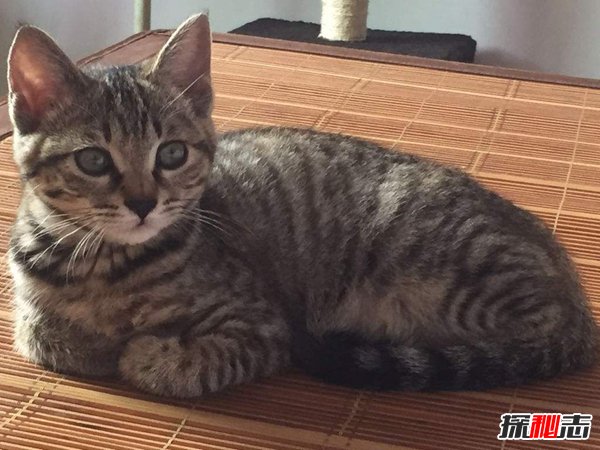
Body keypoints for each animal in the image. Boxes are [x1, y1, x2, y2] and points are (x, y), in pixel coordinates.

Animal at [6, 14, 598, 398]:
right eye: (93, 161)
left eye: (171, 153)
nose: (144, 203)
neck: (104, 266)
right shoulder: (30, 305)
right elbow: (42, 335)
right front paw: (90, 342)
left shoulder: (262, 325)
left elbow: (186, 362)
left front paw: (146, 353)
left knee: (538, 335)